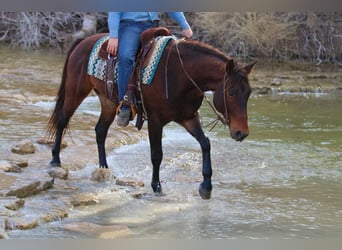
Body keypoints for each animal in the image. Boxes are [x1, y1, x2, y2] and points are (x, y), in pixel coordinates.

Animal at [48, 31, 256, 199]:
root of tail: (83, 41)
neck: (180, 74)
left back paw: (104, 168)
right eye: (231, 92)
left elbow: (205, 143)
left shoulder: (188, 117)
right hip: (76, 91)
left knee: (100, 131)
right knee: (63, 120)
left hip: (108, 102)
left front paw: (206, 187)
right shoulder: (155, 120)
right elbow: (157, 154)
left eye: (249, 93)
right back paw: (55, 160)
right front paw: (157, 187)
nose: (242, 133)